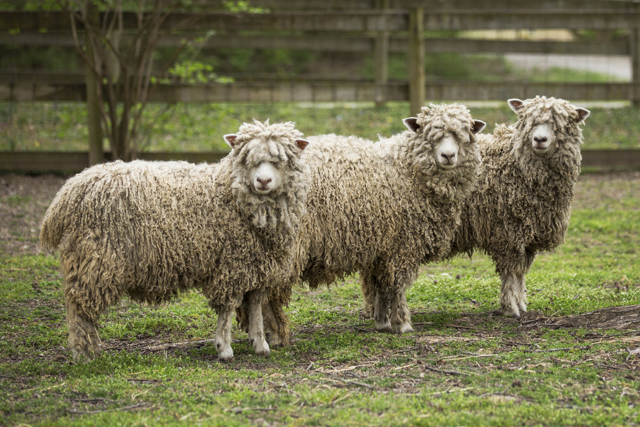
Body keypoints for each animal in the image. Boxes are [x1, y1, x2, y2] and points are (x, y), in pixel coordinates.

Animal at [40, 120, 310, 362]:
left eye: (280, 161)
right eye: (247, 159)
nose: (263, 181)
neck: (228, 191)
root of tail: (66, 195)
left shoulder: (258, 266)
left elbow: (255, 306)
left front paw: (260, 344)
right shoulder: (230, 266)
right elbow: (226, 309)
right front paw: (224, 349)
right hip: (93, 259)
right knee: (79, 309)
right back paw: (85, 354)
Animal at [237, 104, 486, 341]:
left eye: (464, 135)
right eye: (430, 135)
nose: (448, 156)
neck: (406, 168)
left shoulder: (382, 247)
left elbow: (381, 285)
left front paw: (382, 321)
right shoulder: (402, 245)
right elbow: (397, 286)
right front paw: (403, 323)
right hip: (285, 249)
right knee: (268, 295)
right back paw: (275, 335)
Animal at [362, 96, 590, 319]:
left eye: (560, 123)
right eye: (527, 121)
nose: (539, 139)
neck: (515, 163)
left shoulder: (527, 235)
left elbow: (520, 272)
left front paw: (521, 304)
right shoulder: (508, 232)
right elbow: (511, 271)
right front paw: (511, 307)